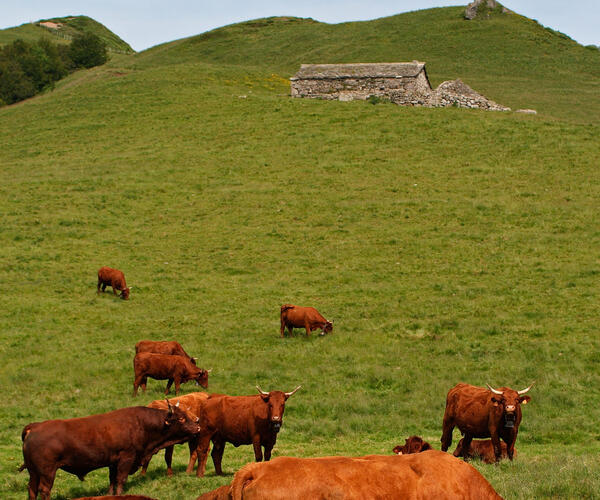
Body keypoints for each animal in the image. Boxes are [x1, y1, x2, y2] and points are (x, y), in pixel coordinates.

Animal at [21, 402, 200, 500]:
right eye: (181, 418)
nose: (197, 427)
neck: (141, 423)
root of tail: (35, 427)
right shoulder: (126, 458)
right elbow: (120, 480)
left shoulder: (113, 462)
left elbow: (112, 480)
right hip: (47, 472)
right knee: (44, 490)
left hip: (33, 472)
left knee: (32, 489)